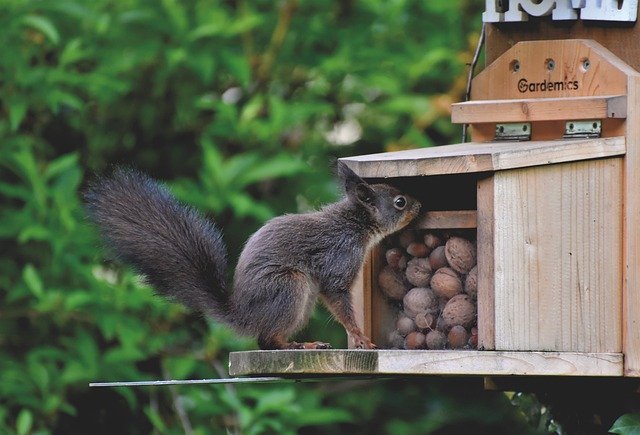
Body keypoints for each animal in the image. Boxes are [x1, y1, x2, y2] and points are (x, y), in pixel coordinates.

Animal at [84, 162, 421, 350]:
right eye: (399, 202)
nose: (419, 204)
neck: (355, 224)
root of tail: (244, 315)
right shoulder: (339, 257)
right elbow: (338, 298)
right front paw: (359, 337)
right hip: (289, 286)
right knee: (267, 341)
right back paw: (300, 345)